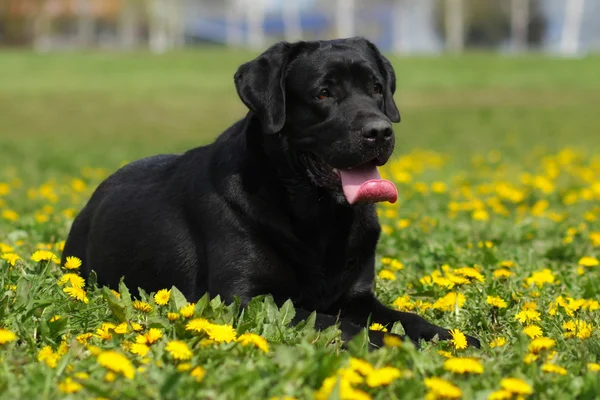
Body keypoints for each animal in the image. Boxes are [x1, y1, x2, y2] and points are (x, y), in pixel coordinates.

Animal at [63, 38, 480, 350]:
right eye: (323, 94)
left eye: (377, 88)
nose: (379, 131)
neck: (319, 217)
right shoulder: (244, 299)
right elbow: (335, 323)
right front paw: (391, 343)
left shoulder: (358, 296)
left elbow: (406, 318)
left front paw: (450, 337)